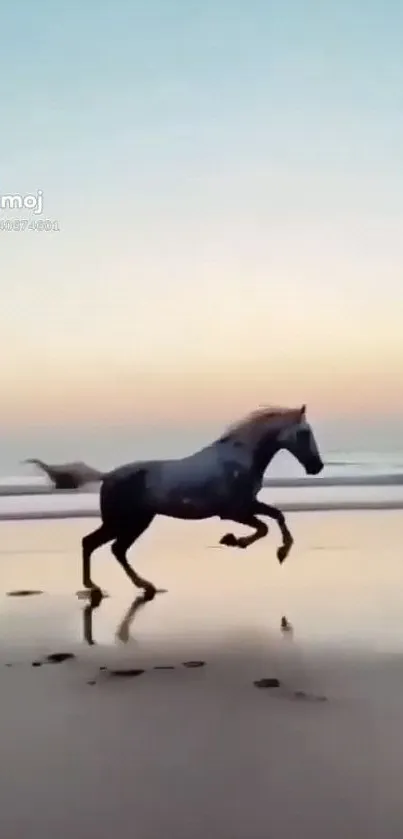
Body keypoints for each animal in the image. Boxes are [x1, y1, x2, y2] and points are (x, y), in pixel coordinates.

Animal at [82, 406, 326, 596]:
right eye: (304, 433)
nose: (317, 466)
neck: (239, 459)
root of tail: (107, 476)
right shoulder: (235, 511)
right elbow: (264, 527)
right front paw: (234, 540)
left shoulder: (249, 504)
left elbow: (277, 515)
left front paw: (281, 551)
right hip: (125, 523)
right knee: (102, 546)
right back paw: (103, 587)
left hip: (134, 522)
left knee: (108, 547)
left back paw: (131, 586)